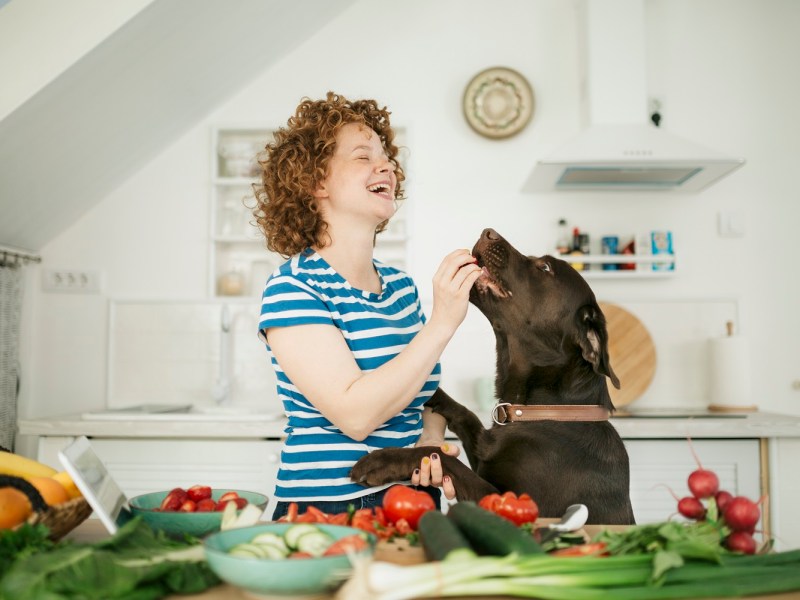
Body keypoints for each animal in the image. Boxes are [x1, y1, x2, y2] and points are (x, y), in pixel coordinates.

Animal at [354, 227, 636, 524]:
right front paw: (429, 393)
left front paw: (380, 461)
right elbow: (466, 414)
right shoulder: (484, 454)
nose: (487, 232)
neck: (546, 411)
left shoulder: (509, 504)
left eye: (544, 267)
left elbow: (444, 458)